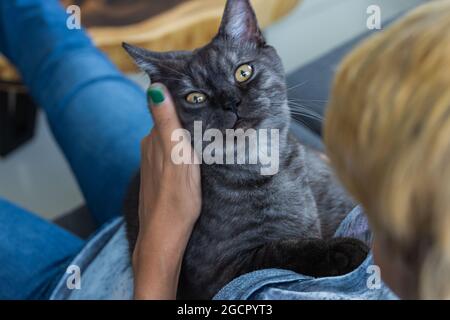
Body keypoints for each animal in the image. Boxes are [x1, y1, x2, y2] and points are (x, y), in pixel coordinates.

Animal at [121, 0, 368, 300]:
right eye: (195, 97)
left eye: (243, 72)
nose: (231, 102)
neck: (259, 161)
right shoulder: (220, 273)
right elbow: (280, 250)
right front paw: (341, 250)